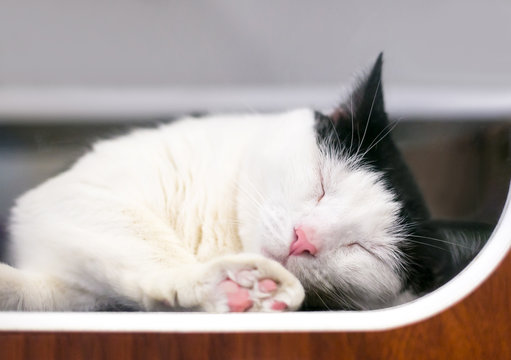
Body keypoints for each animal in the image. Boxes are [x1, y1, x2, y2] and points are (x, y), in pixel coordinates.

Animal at [0, 55, 464, 312]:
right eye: (322, 183)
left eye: (364, 249)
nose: (304, 238)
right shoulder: (70, 197)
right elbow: (142, 241)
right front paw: (211, 280)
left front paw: (230, 289)